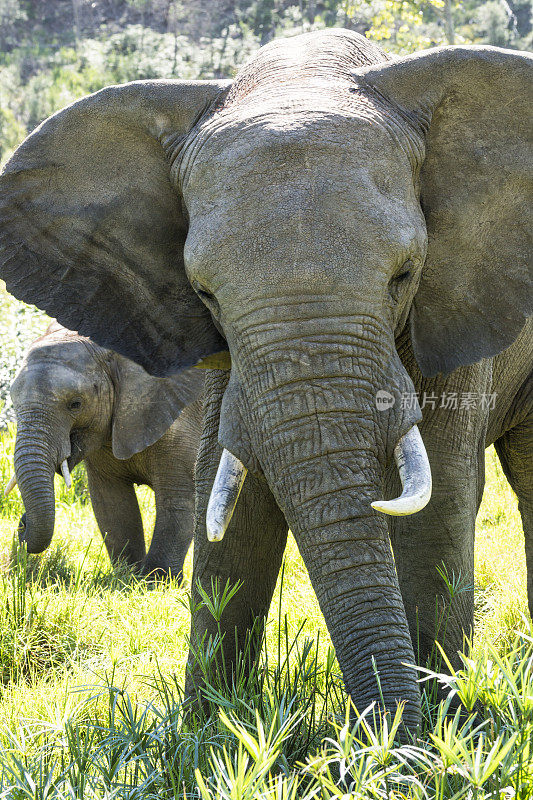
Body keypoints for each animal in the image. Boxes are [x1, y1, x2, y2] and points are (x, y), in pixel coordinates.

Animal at [5, 322, 204, 580]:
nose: (22, 523)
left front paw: (154, 581)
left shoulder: (182, 418)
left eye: (76, 404)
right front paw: (126, 576)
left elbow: (177, 501)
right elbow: (113, 504)